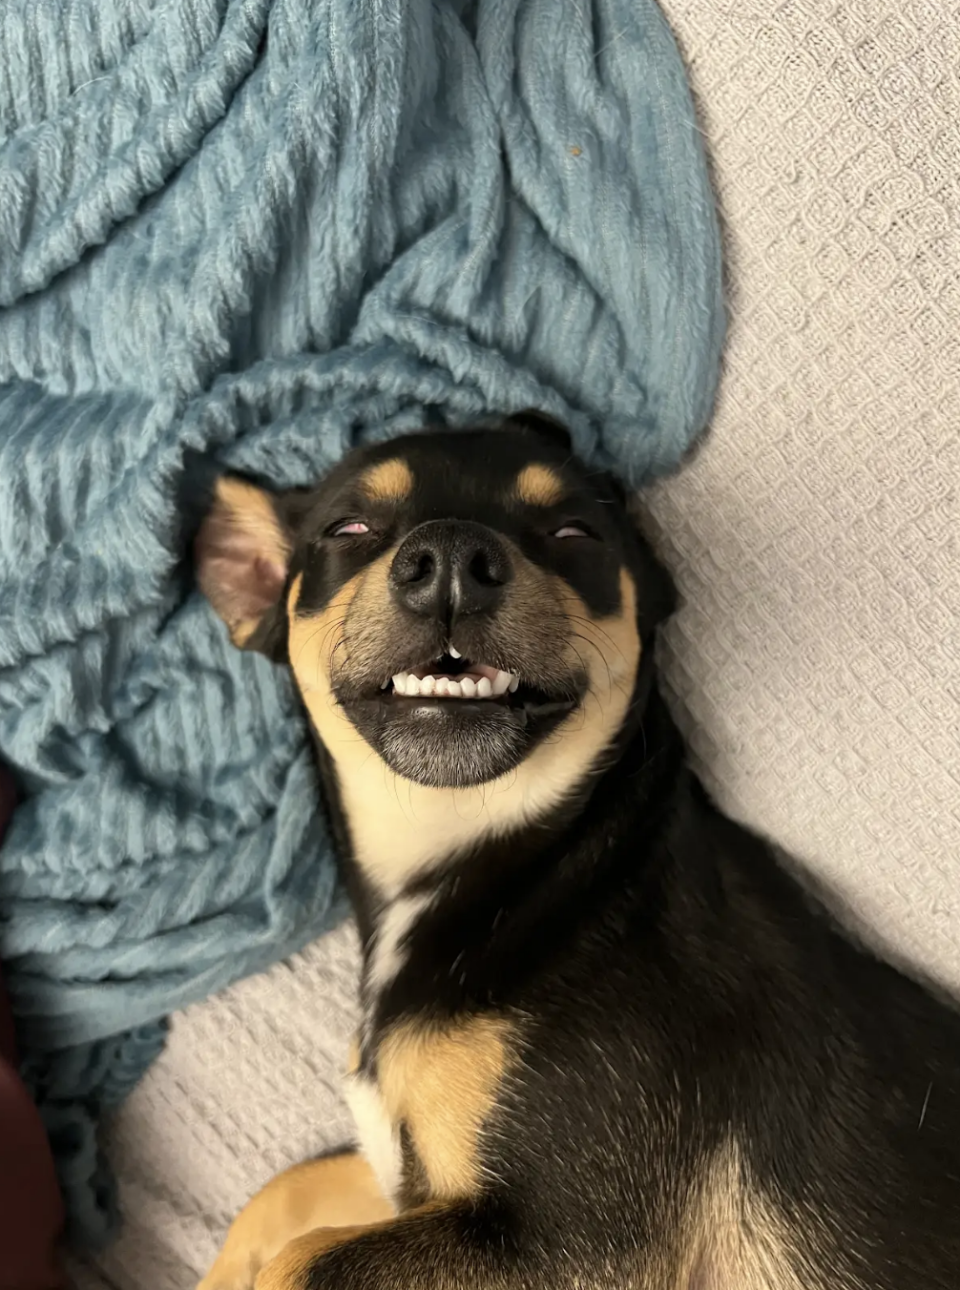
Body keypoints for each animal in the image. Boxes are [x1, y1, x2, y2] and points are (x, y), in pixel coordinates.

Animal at [193, 415, 960, 1290]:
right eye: (347, 530)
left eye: (573, 533)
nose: (452, 560)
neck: (504, 862)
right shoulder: (418, 1181)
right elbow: (285, 1191)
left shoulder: (572, 1235)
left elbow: (303, 1256)